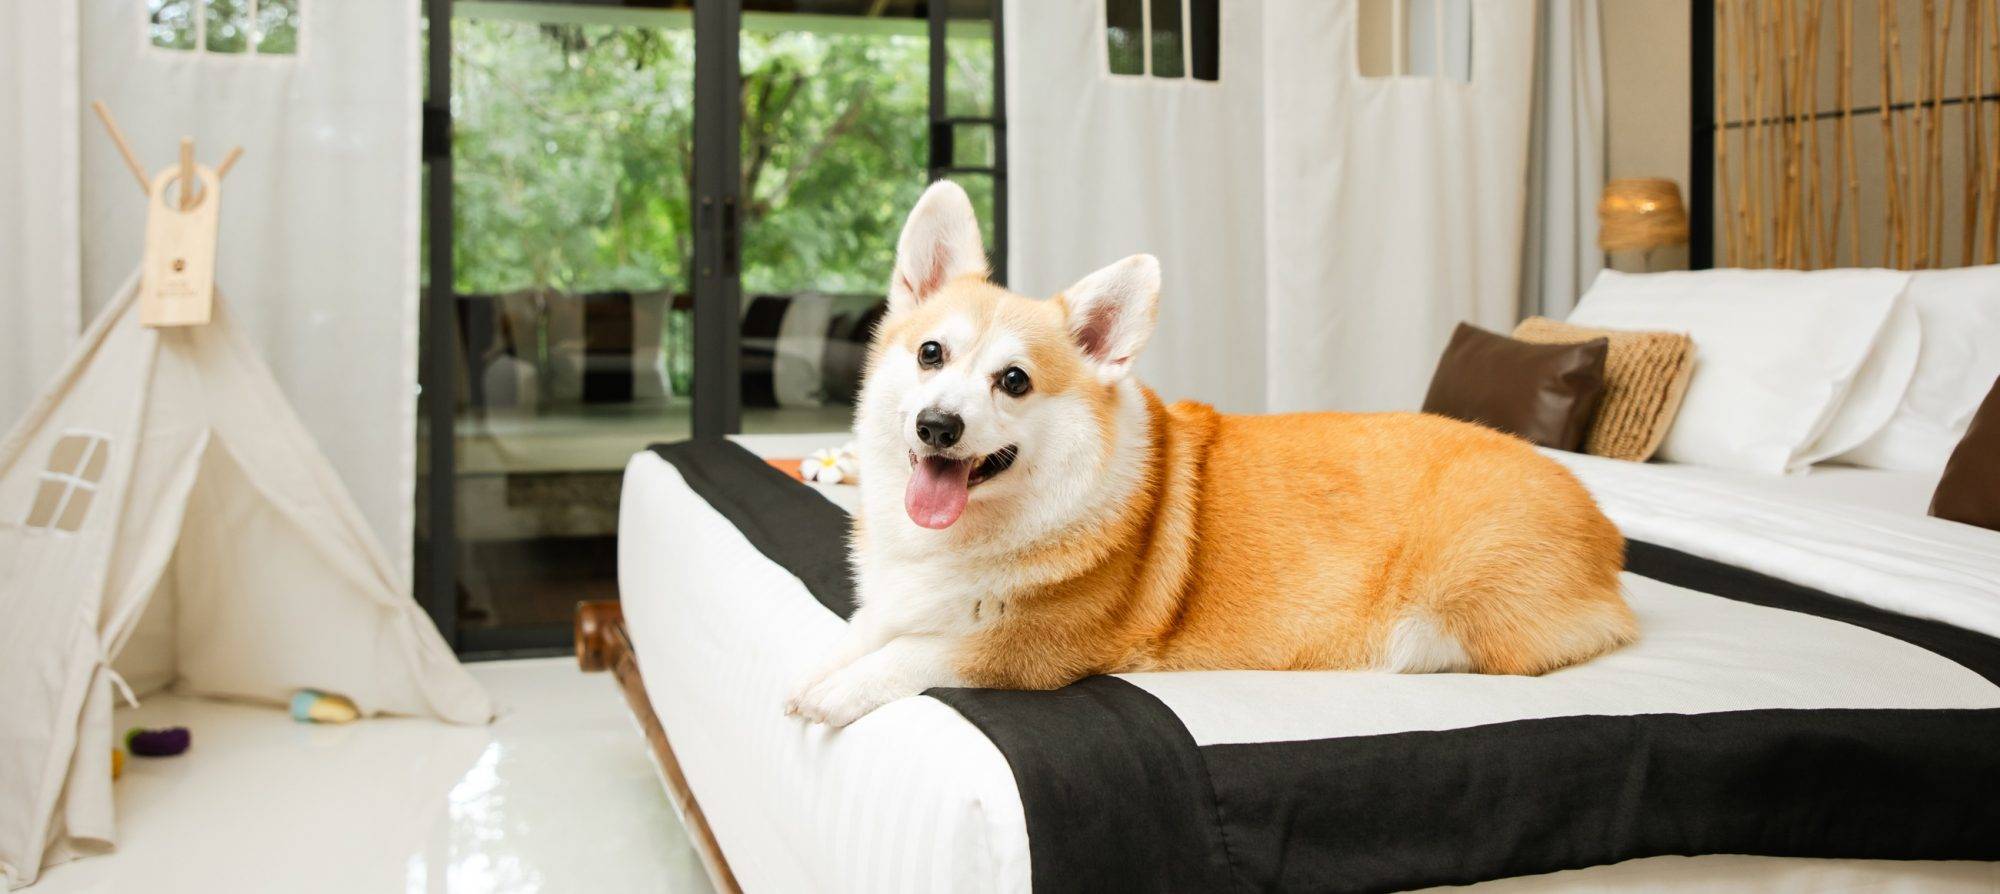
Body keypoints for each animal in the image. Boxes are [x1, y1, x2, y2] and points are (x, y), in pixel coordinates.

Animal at [784, 181, 1636, 727]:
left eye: (1015, 381)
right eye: (931, 353)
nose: (938, 427)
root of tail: (1609, 538)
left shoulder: (1028, 650)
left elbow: (917, 653)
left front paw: (835, 694)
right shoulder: (892, 604)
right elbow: (855, 636)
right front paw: (812, 670)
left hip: (1443, 618)